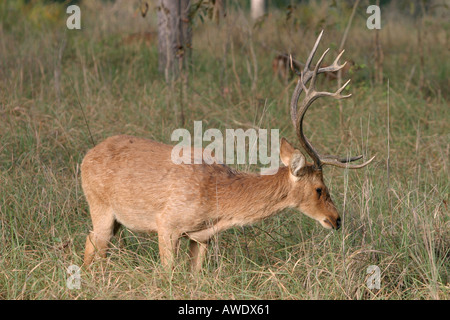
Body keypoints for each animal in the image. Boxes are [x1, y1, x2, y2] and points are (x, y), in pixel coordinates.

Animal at [81, 30, 372, 272]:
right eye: (319, 188)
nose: (336, 220)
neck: (218, 201)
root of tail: (86, 156)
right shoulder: (167, 224)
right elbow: (167, 274)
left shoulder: (202, 238)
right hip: (100, 205)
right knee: (93, 243)